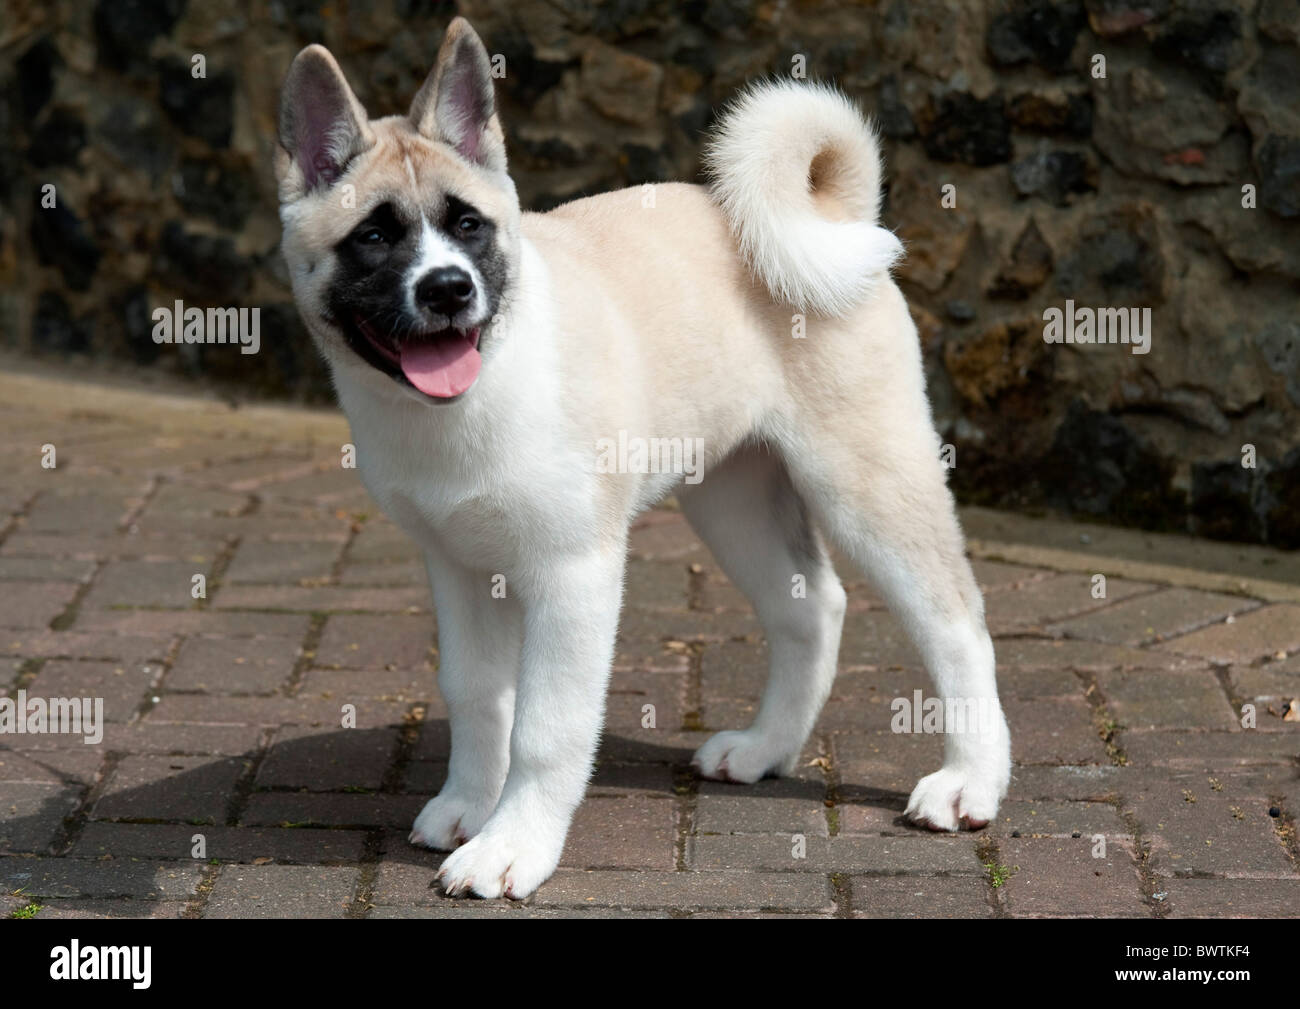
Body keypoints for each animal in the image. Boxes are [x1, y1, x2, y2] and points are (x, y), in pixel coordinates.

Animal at [271, 15, 1003, 899]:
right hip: (734, 499)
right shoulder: (460, 570)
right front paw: (470, 804)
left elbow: (545, 728)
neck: (482, 382)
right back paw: (764, 750)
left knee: (956, 621)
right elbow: (479, 698)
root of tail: (833, 216)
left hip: (867, 481)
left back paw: (969, 781)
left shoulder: (572, 575)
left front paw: (512, 845)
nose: (448, 289)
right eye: (374, 237)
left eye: (469, 225)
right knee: (812, 607)